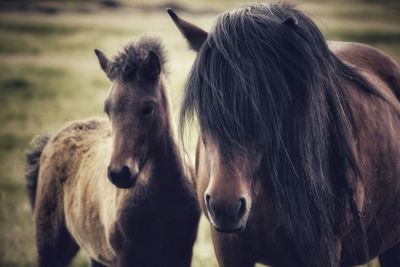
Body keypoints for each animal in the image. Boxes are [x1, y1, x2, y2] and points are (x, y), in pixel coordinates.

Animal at [25, 36, 200, 267]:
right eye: (108, 109)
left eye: (148, 108)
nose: (119, 173)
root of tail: (53, 138)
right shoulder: (126, 257)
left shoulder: (181, 254)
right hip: (51, 247)